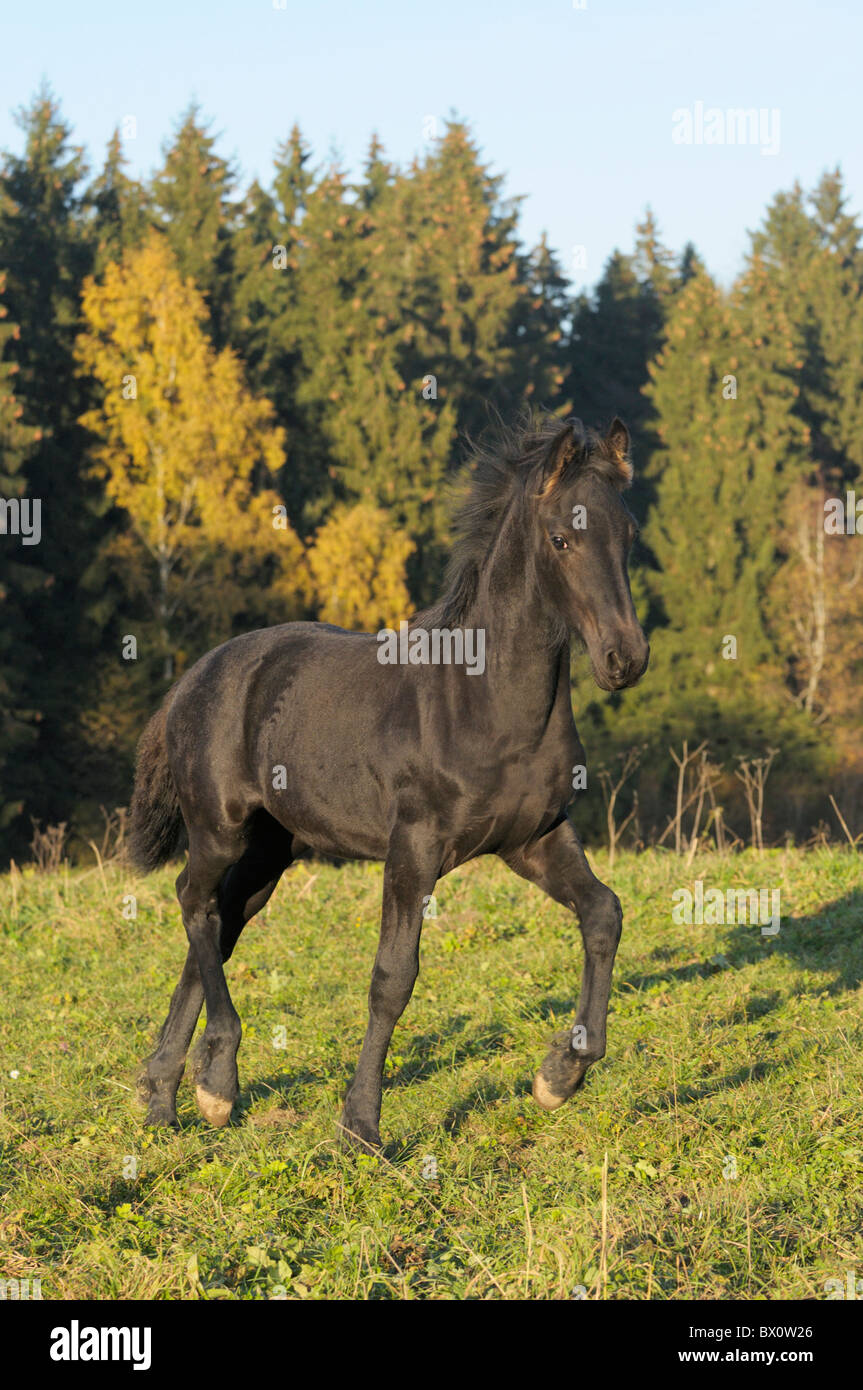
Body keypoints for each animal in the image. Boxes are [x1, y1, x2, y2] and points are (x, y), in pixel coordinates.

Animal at [131, 414, 644, 1150]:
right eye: (560, 539)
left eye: (628, 534)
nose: (624, 658)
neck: (483, 701)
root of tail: (191, 679)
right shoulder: (414, 848)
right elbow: (393, 976)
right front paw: (362, 1124)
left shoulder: (535, 839)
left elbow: (603, 913)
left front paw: (558, 1076)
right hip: (220, 829)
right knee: (193, 903)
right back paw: (216, 1082)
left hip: (269, 853)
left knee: (221, 919)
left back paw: (167, 1092)